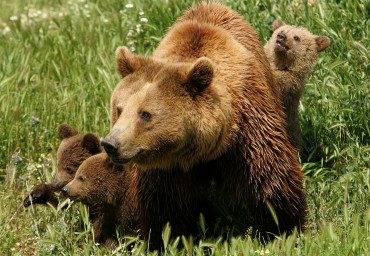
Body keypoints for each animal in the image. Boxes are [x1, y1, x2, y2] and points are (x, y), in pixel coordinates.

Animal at [102, 2, 306, 246]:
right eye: (119, 109)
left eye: (145, 114)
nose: (110, 144)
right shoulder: (168, 166)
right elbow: (165, 204)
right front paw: (172, 238)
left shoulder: (248, 130)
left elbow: (269, 175)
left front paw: (281, 228)